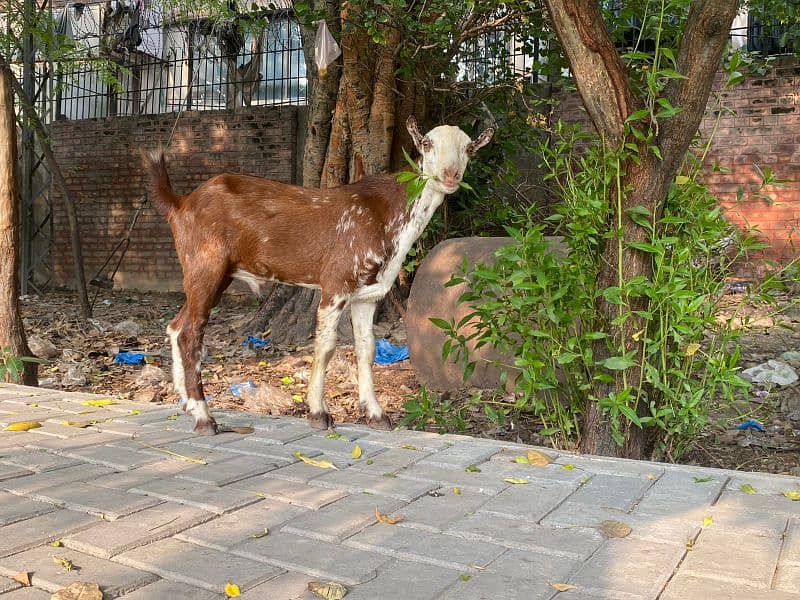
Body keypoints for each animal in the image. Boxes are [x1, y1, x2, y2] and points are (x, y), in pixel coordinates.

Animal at [145, 115, 494, 434]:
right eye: (427, 144)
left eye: (469, 148)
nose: (450, 175)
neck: (387, 214)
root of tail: (180, 204)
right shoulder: (336, 284)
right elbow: (325, 347)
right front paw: (318, 412)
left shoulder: (368, 294)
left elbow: (366, 348)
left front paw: (376, 414)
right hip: (206, 263)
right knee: (191, 333)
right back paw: (205, 417)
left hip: (213, 273)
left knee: (176, 325)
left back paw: (187, 403)